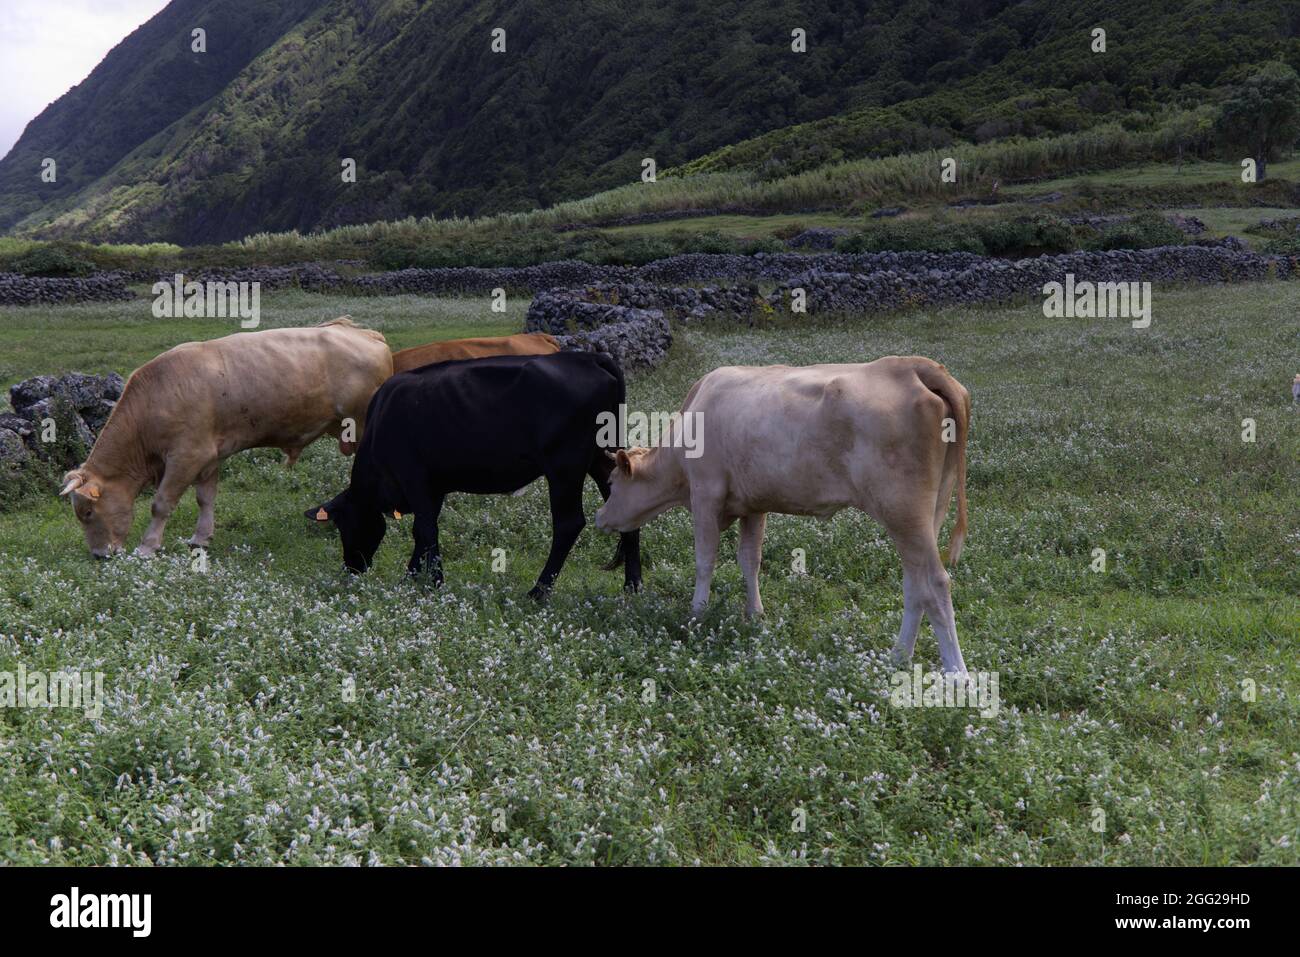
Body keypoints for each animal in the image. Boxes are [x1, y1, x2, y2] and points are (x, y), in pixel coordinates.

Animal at [59, 317, 390, 556]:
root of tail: (364, 333)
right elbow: (205, 498)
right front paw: (200, 538)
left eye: (87, 512)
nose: (99, 555)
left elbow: (161, 503)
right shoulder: (208, 457)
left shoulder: (186, 456)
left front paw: (147, 546)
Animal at [322, 348, 642, 598]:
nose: (352, 567)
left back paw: (538, 592)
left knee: (568, 524)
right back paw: (632, 585)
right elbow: (423, 531)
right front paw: (412, 576)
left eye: (343, 524)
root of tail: (588, 358)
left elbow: (424, 529)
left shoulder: (413, 476)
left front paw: (434, 581)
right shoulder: (434, 487)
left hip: (565, 466)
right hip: (602, 460)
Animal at [595, 356, 972, 676]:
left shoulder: (705, 494)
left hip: (903, 511)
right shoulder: (752, 504)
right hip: (926, 515)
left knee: (936, 582)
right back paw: (899, 656)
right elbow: (750, 559)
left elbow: (705, 561)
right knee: (915, 585)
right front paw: (755, 615)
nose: (599, 517)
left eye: (611, 482)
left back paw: (956, 673)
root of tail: (911, 365)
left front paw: (697, 614)